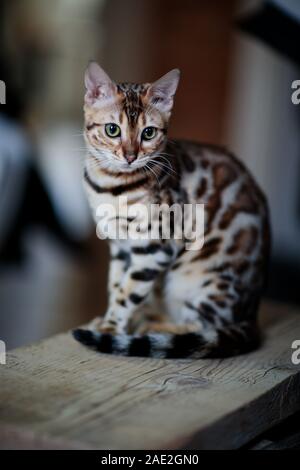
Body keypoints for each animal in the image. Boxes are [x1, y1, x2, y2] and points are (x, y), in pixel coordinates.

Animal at [72, 60, 270, 358]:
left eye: (149, 133)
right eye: (112, 130)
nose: (130, 156)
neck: (110, 186)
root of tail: (252, 315)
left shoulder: (155, 248)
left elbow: (127, 292)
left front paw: (110, 329)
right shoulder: (119, 247)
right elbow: (115, 285)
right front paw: (110, 320)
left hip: (202, 281)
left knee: (203, 326)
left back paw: (157, 327)